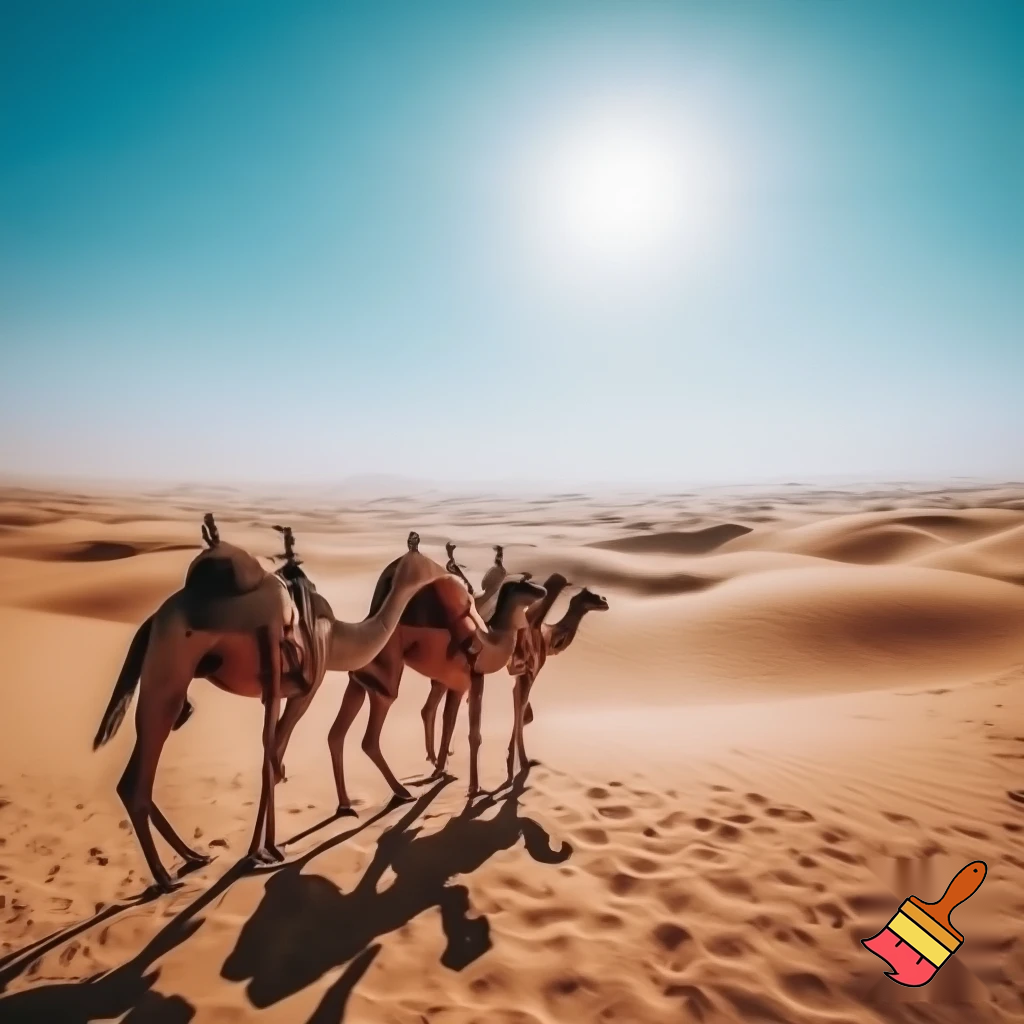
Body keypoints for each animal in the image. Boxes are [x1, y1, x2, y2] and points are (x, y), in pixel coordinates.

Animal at [91, 520, 446, 893]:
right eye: (425, 563)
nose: (444, 573)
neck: (336, 637)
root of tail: (152, 621)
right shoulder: (307, 687)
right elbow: (272, 757)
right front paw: (266, 851)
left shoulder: (280, 692)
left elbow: (272, 757)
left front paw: (263, 848)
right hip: (170, 673)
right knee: (137, 781)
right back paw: (166, 876)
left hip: (163, 681)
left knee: (135, 778)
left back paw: (194, 857)